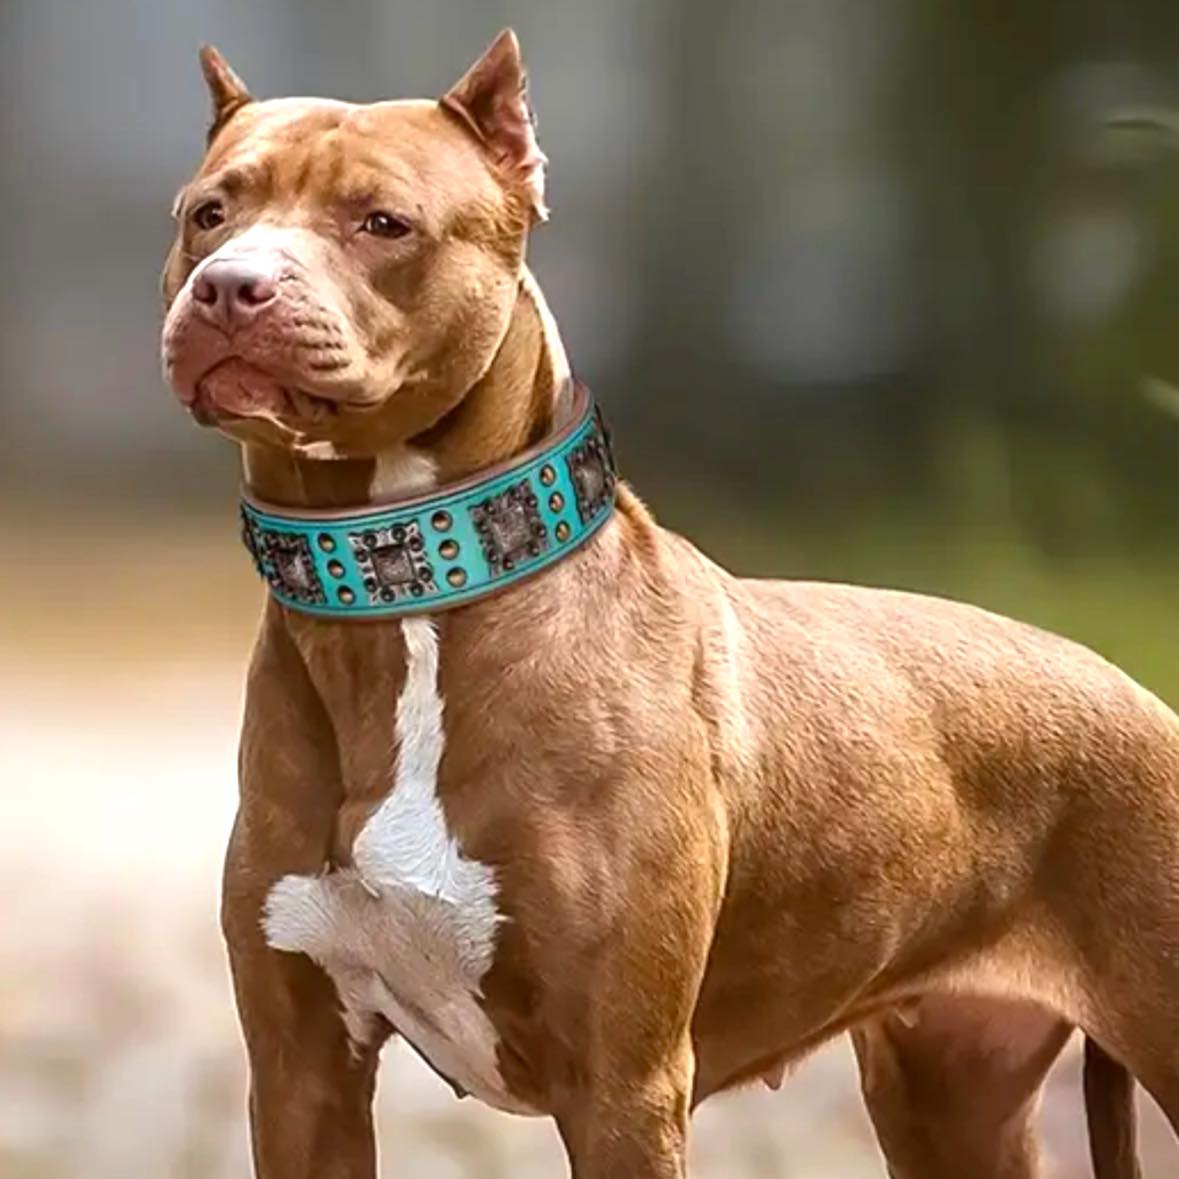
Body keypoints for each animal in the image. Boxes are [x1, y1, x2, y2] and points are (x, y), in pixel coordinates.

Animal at [163, 29, 1179, 1179]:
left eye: (382, 222)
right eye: (208, 214)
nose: (229, 286)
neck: (403, 593)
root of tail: (1136, 694)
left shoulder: (623, 1086)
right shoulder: (302, 1071)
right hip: (950, 1094)